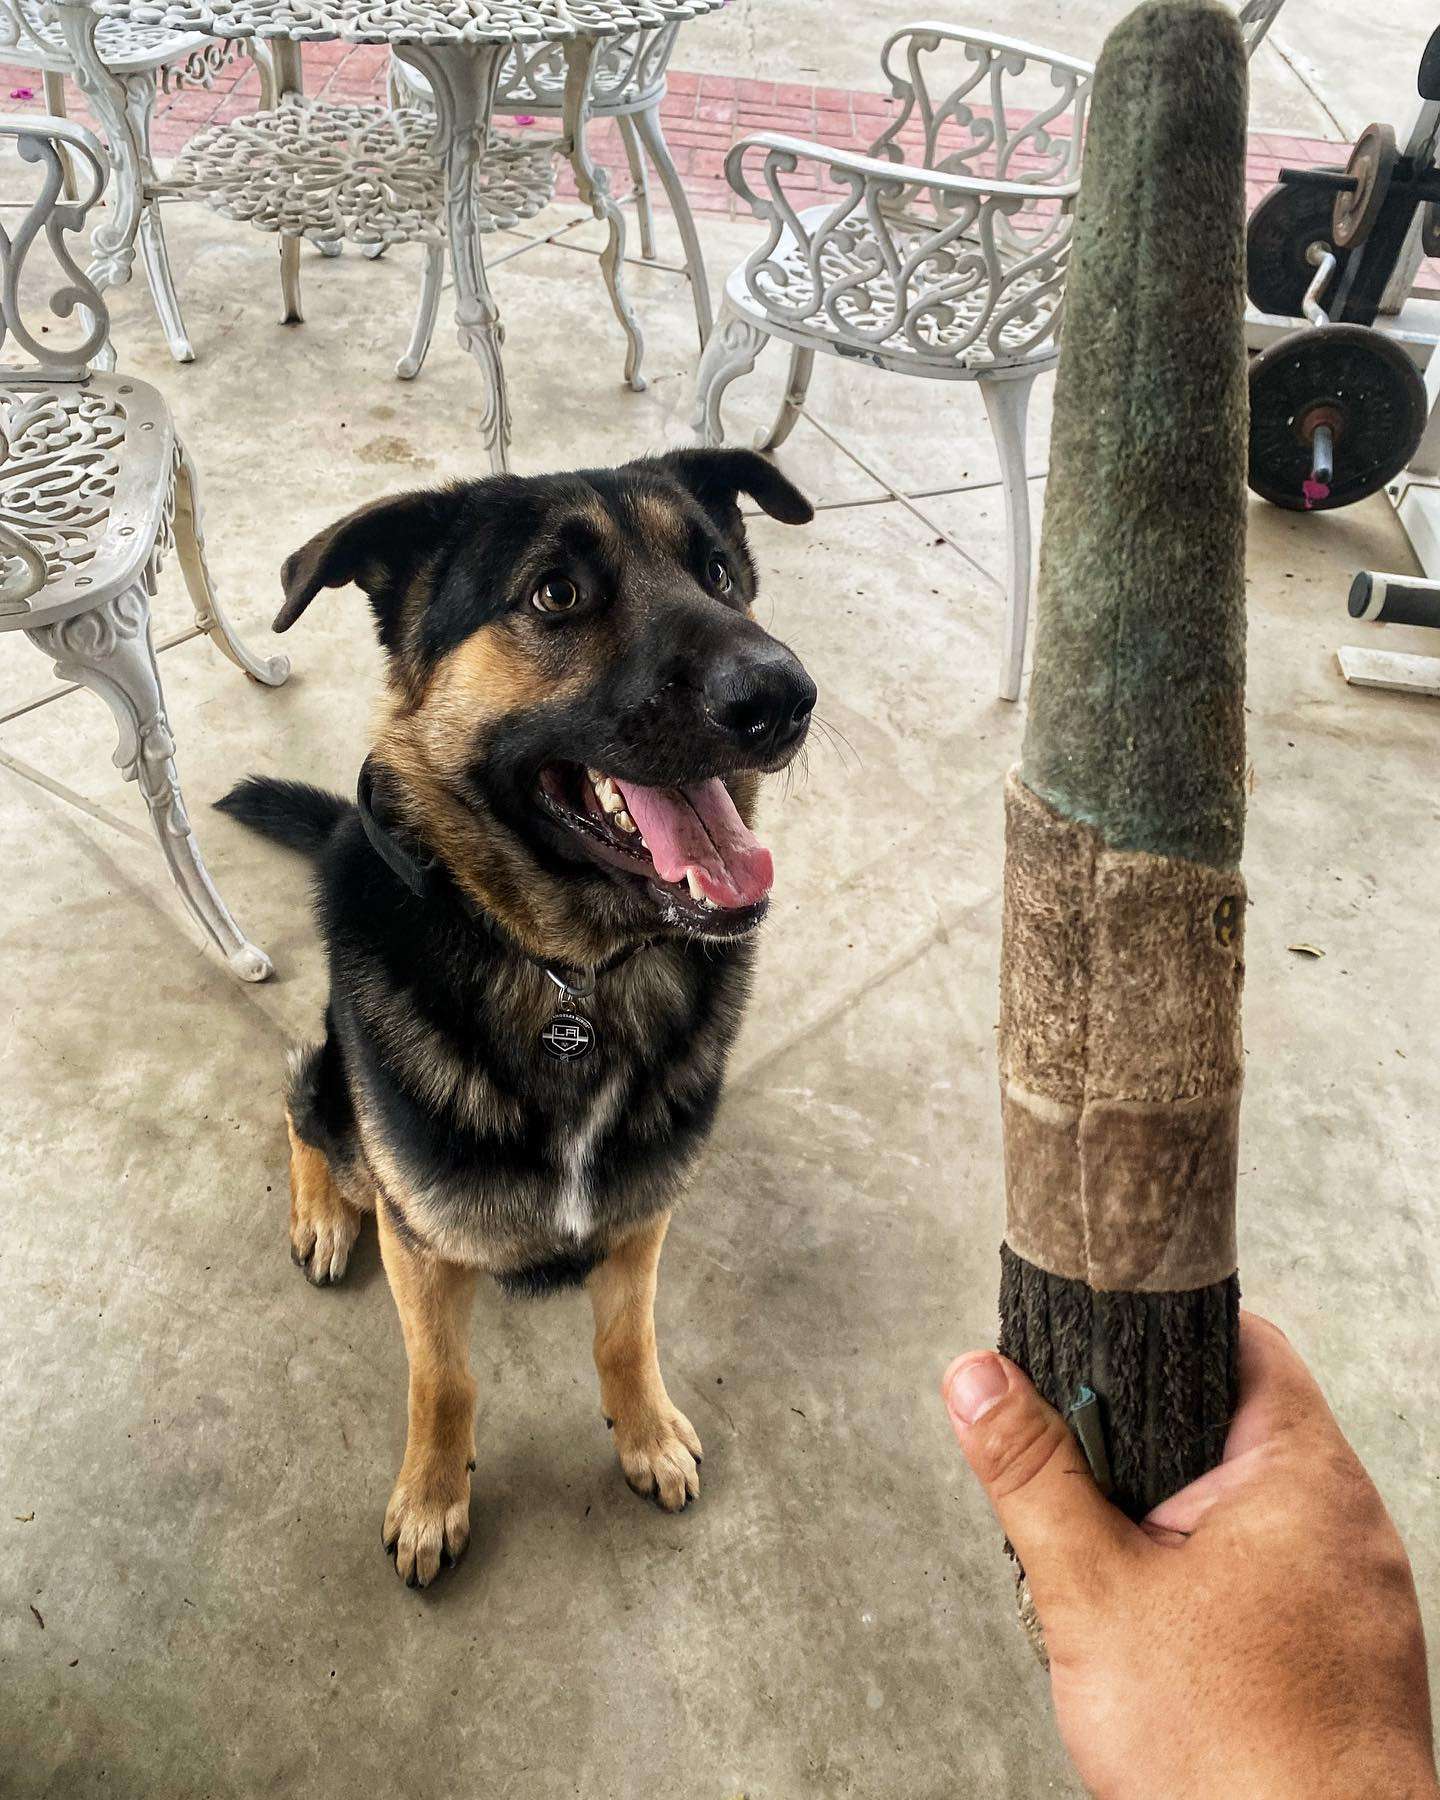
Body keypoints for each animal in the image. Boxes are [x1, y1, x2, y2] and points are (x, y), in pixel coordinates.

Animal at [219, 450, 817, 1591]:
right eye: (556, 594)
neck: (569, 977)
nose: (784, 696)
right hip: (343, 1106)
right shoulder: (421, 1240)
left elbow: (626, 1338)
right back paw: (322, 1213)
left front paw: (646, 1434)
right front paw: (432, 1497)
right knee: (301, 1096)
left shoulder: (641, 1217)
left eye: (720, 572)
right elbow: (442, 1380)